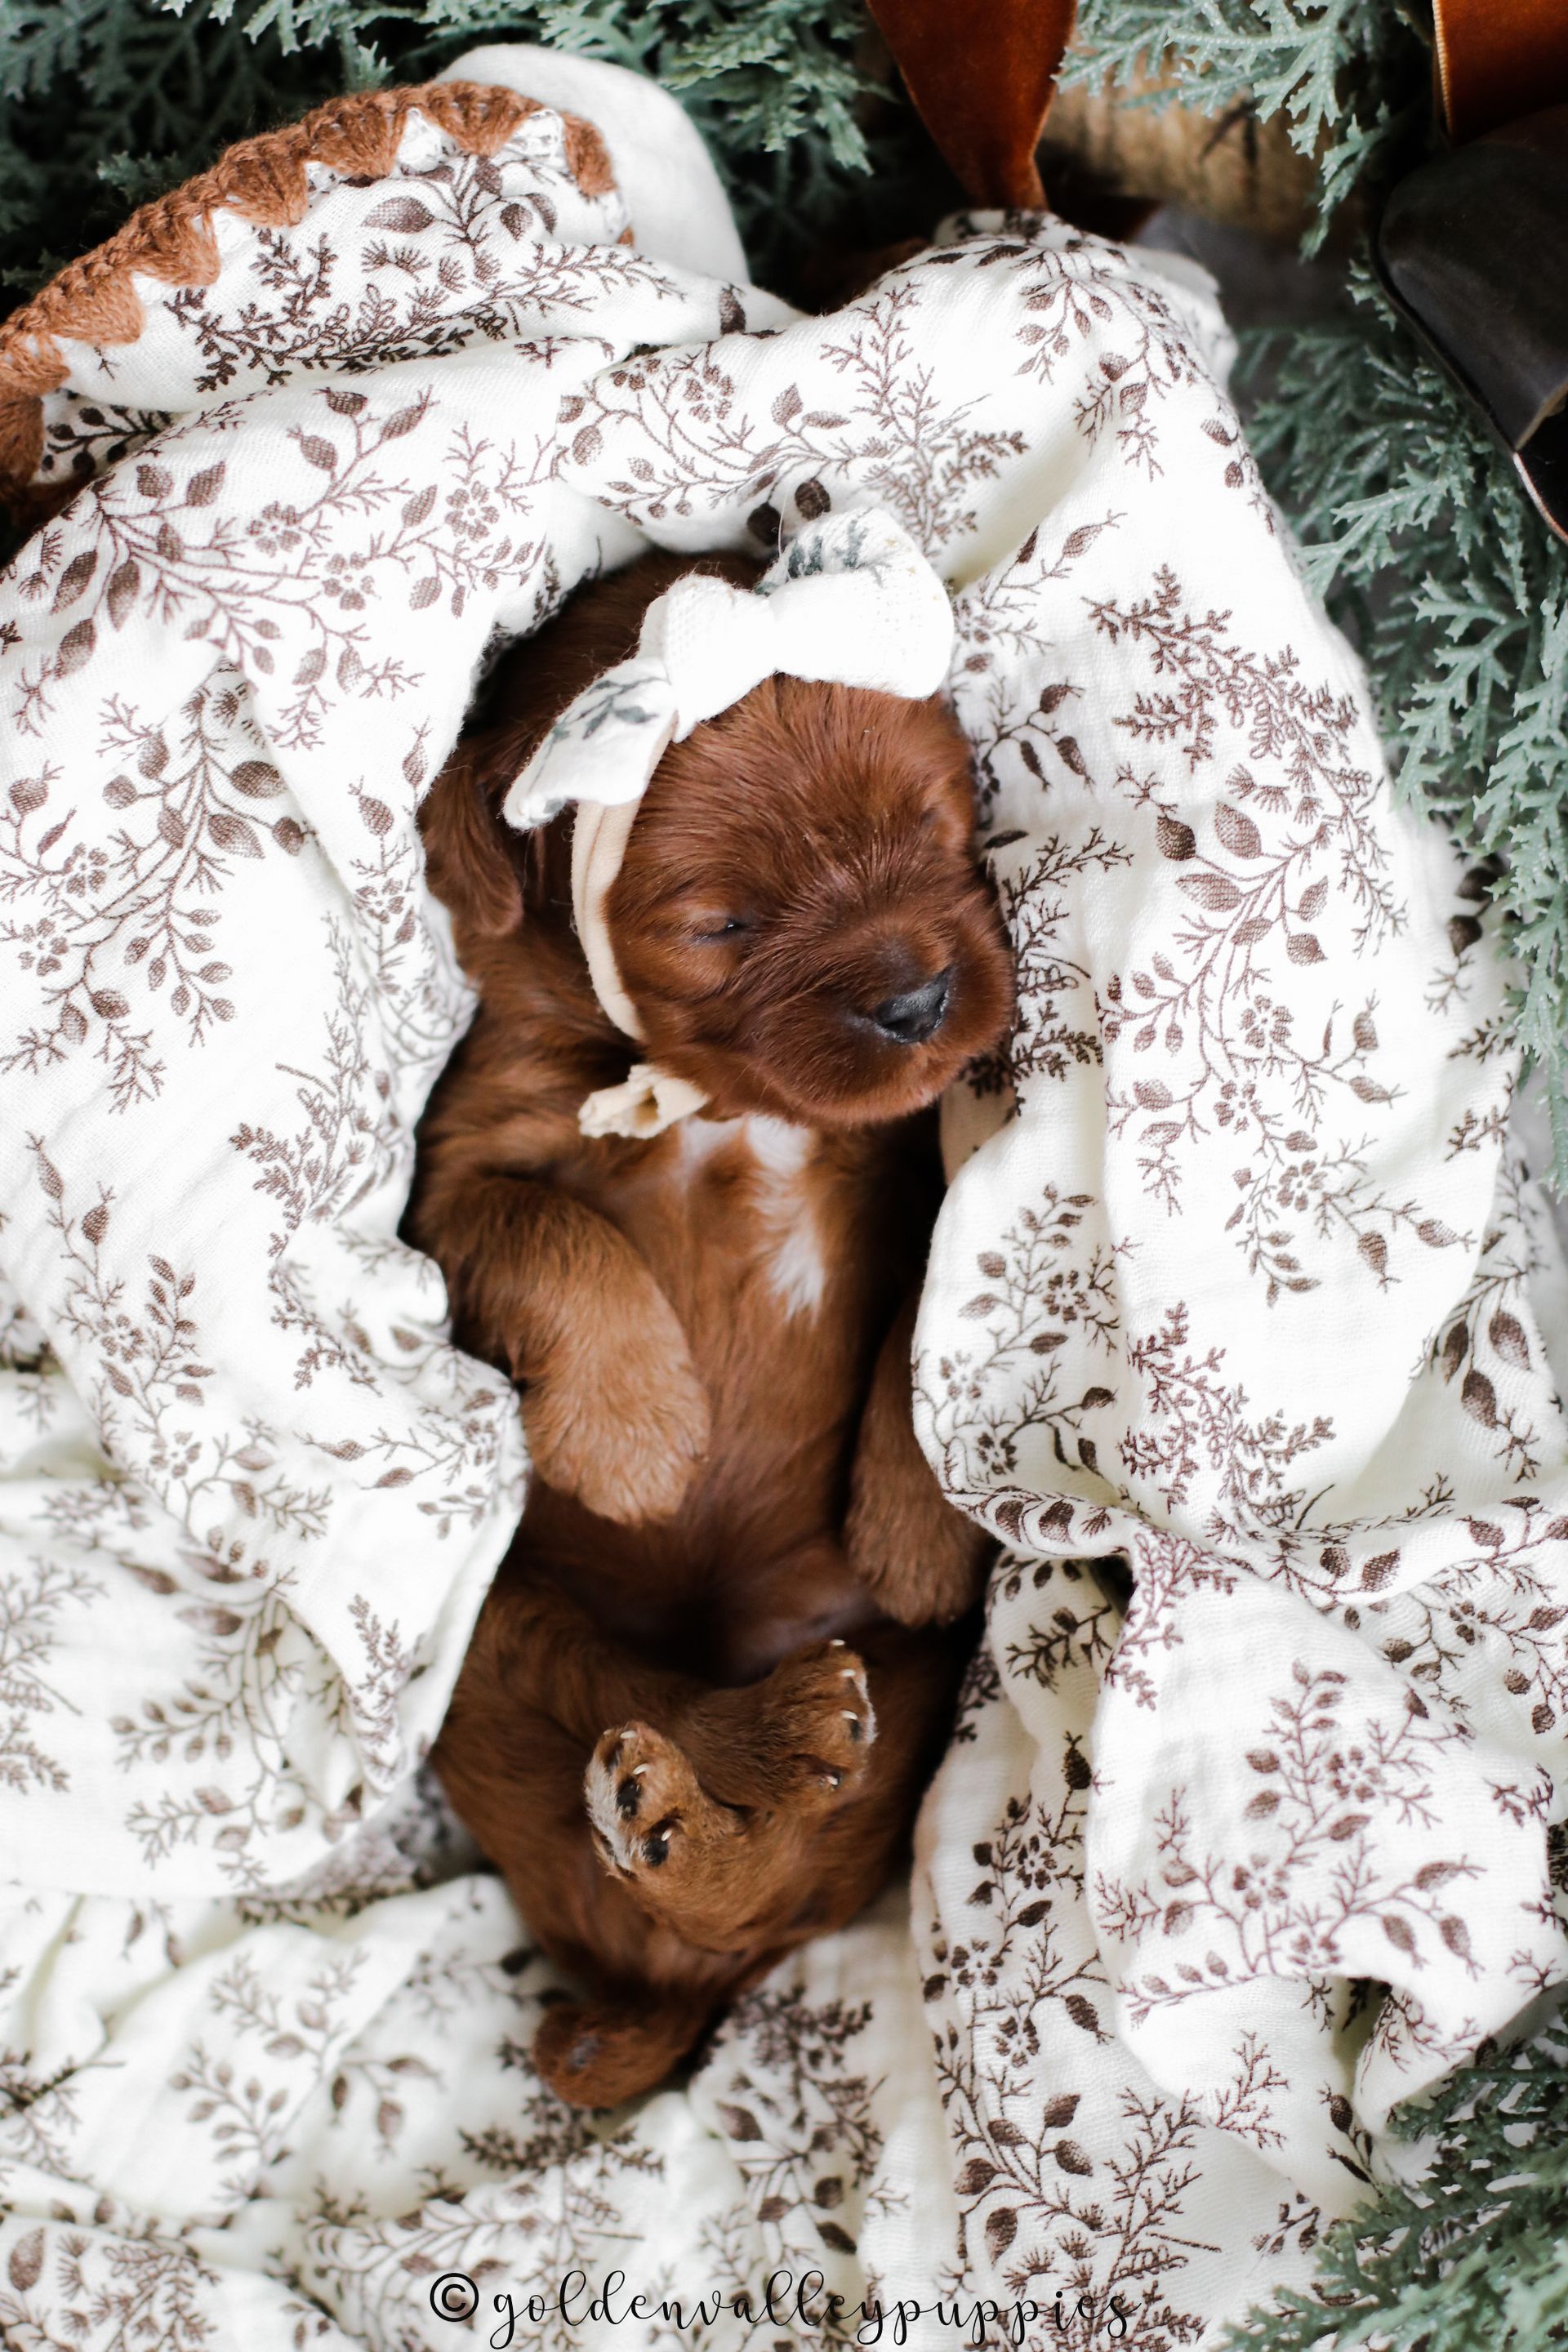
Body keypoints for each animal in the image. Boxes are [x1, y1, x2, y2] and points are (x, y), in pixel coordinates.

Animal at [408, 547, 1013, 2107]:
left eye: (940, 823)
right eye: (719, 925)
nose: (920, 998)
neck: (713, 1096)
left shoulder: (923, 1169)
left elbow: (927, 1310)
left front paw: (919, 1523)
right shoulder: (455, 1179)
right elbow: (555, 1236)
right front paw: (635, 1438)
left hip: (918, 1684)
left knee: (798, 1855)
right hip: (494, 1631)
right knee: (648, 1716)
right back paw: (699, 1785)